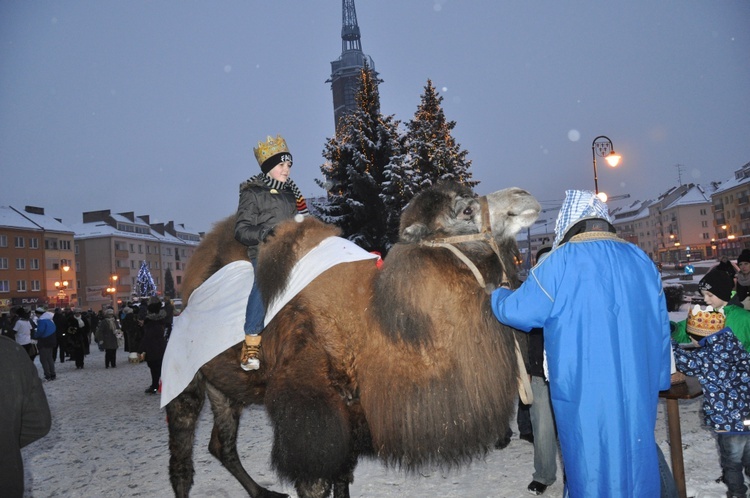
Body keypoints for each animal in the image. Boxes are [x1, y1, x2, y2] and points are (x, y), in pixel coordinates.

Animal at [166, 184, 540, 498]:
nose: (524, 195)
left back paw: (263, 491)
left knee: (222, 444)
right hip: (184, 379)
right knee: (183, 455)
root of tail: (186, 298)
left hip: (225, 389)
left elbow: (342, 476)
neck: (370, 322)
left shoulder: (352, 412)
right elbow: (316, 481)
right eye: (465, 210)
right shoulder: (310, 414)